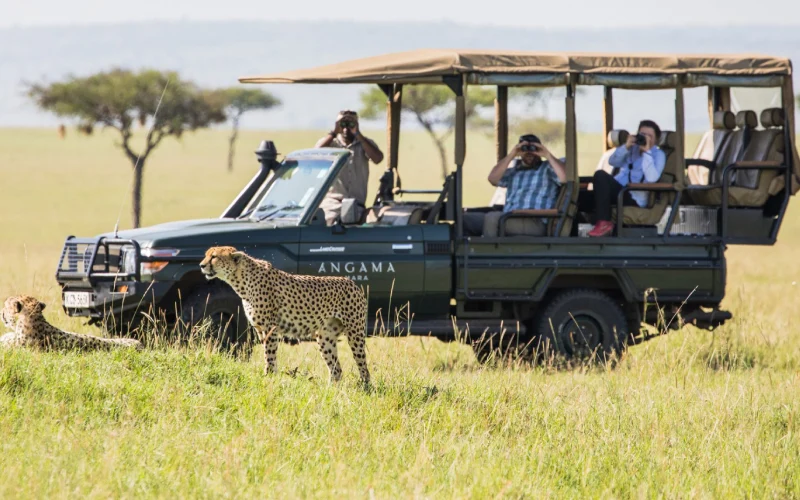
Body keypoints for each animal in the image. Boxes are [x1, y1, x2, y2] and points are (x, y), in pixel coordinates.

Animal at [203, 244, 372, 384]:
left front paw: (269, 376)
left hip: (355, 333)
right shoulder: (260, 329)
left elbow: (269, 354)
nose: (201, 265)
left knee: (363, 366)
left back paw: (365, 388)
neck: (242, 280)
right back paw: (330, 390)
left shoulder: (270, 328)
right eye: (206, 255)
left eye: (214, 257)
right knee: (336, 369)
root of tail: (352, 282)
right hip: (325, 337)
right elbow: (266, 353)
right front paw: (270, 376)